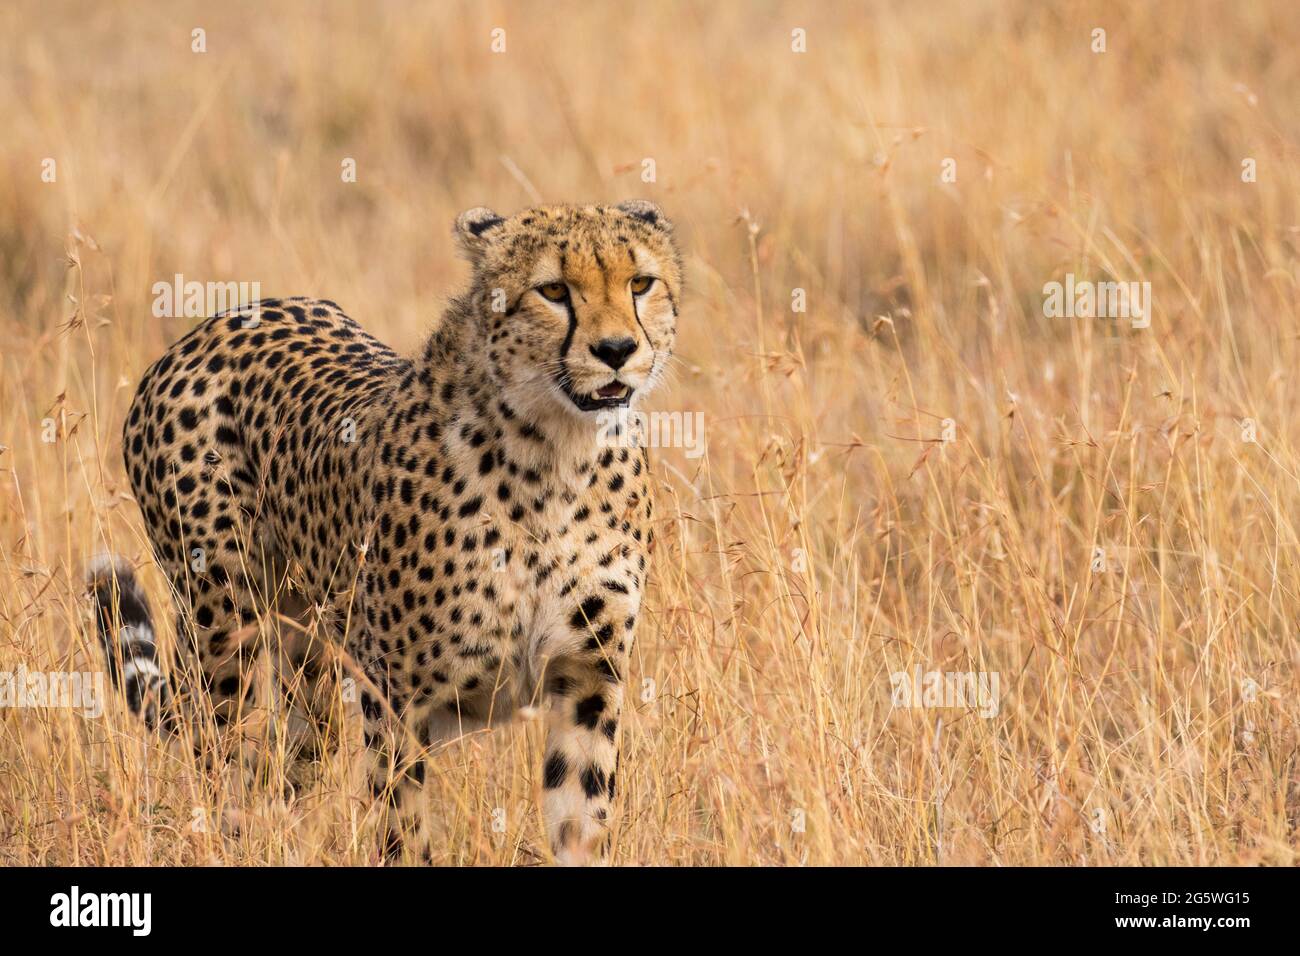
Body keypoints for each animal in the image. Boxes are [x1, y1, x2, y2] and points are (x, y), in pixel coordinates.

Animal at [87, 201, 686, 868]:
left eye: (640, 283)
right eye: (553, 290)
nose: (617, 349)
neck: (556, 453)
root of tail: (223, 319)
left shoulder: (586, 680)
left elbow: (580, 819)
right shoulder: (396, 697)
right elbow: (404, 826)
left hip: (311, 658)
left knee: (287, 763)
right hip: (222, 630)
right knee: (222, 757)